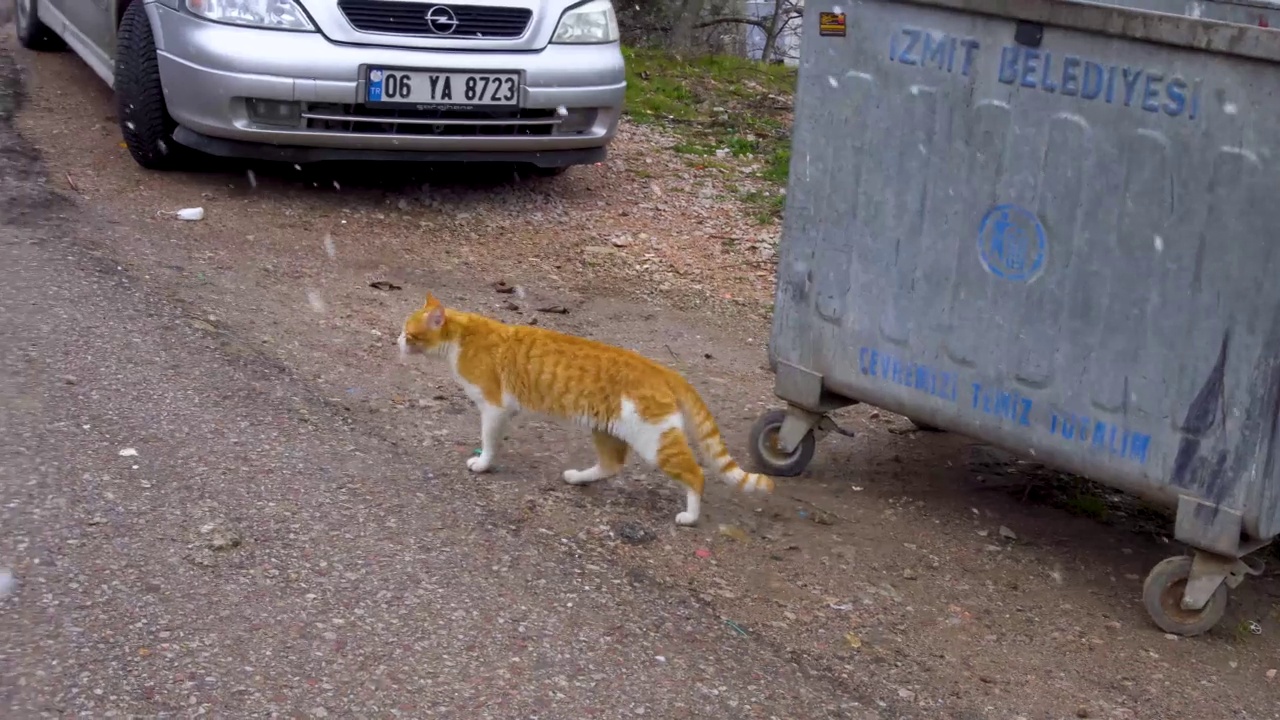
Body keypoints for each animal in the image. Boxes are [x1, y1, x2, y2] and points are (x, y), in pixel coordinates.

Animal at [399, 292, 773, 520]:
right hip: (605, 430)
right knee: (611, 465)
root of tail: (660, 368)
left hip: (654, 441)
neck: (462, 336)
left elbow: (489, 443)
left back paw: (691, 515)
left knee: (695, 474)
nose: (397, 340)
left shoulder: (494, 408)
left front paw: (483, 464)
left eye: (410, 334)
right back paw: (579, 478)